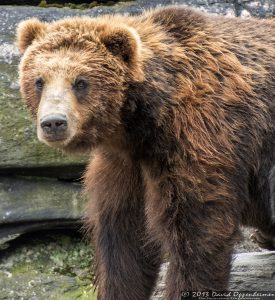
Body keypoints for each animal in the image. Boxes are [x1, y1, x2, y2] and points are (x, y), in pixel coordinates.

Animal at [16, 5, 274, 300]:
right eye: (39, 81)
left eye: (80, 82)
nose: (54, 123)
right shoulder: (124, 164)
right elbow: (124, 239)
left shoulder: (200, 140)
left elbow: (198, 235)